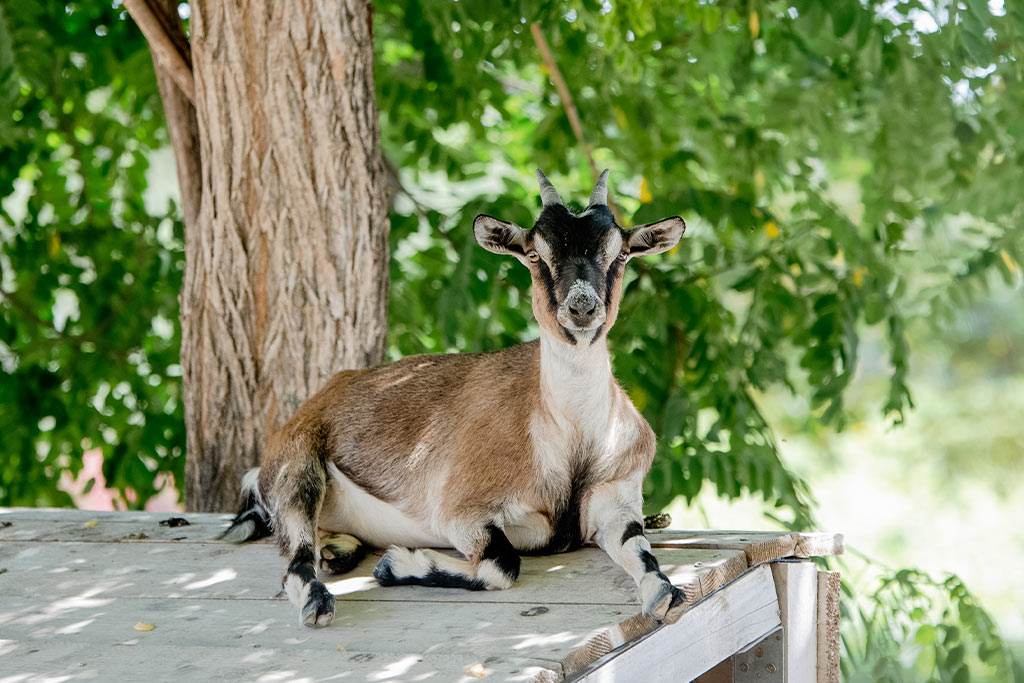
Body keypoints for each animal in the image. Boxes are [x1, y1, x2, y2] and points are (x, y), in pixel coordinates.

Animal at [224, 167, 688, 626]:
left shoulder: (617, 503)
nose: (582, 308)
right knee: (295, 561)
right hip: (298, 469)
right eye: (534, 254)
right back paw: (319, 599)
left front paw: (665, 594)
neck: (571, 442)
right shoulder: (460, 509)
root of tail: (324, 393)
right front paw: (394, 564)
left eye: (621, 255)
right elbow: (502, 565)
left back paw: (338, 551)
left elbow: (646, 559)